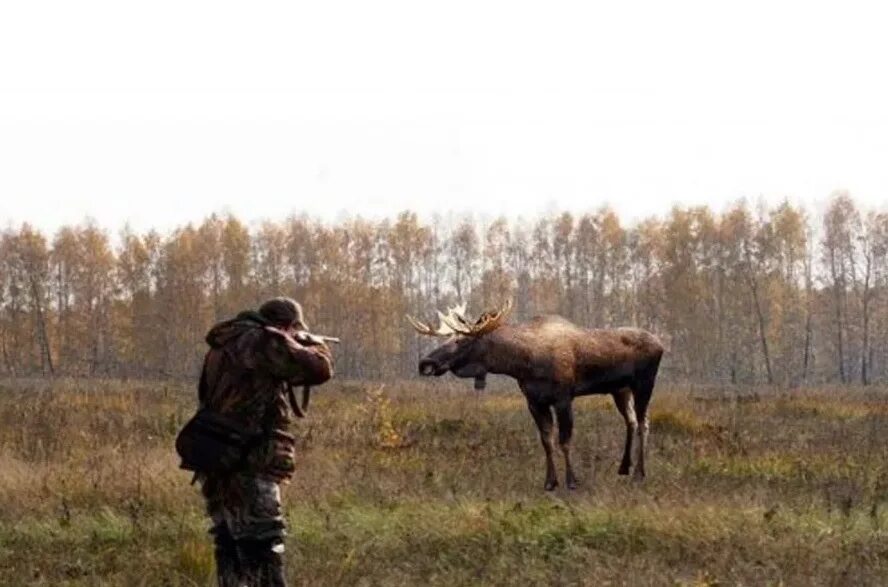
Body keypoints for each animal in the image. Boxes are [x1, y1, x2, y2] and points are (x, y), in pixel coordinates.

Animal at [406, 304, 664, 492]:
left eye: (461, 340)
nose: (425, 363)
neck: (522, 364)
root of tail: (661, 344)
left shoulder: (563, 398)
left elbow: (564, 440)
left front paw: (572, 481)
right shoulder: (534, 401)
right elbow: (546, 441)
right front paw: (550, 482)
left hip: (644, 384)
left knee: (644, 423)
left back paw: (639, 473)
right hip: (620, 389)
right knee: (631, 421)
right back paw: (624, 468)